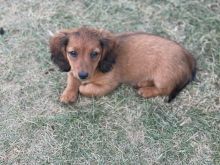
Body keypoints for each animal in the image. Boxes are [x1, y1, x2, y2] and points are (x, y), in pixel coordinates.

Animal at [49, 27, 196, 103]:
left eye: (95, 54)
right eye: (73, 53)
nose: (83, 75)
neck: (96, 69)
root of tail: (187, 56)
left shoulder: (109, 85)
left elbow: (85, 89)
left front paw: (81, 87)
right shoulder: (73, 70)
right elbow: (72, 81)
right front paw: (68, 94)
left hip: (163, 77)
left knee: (166, 89)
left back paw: (146, 90)